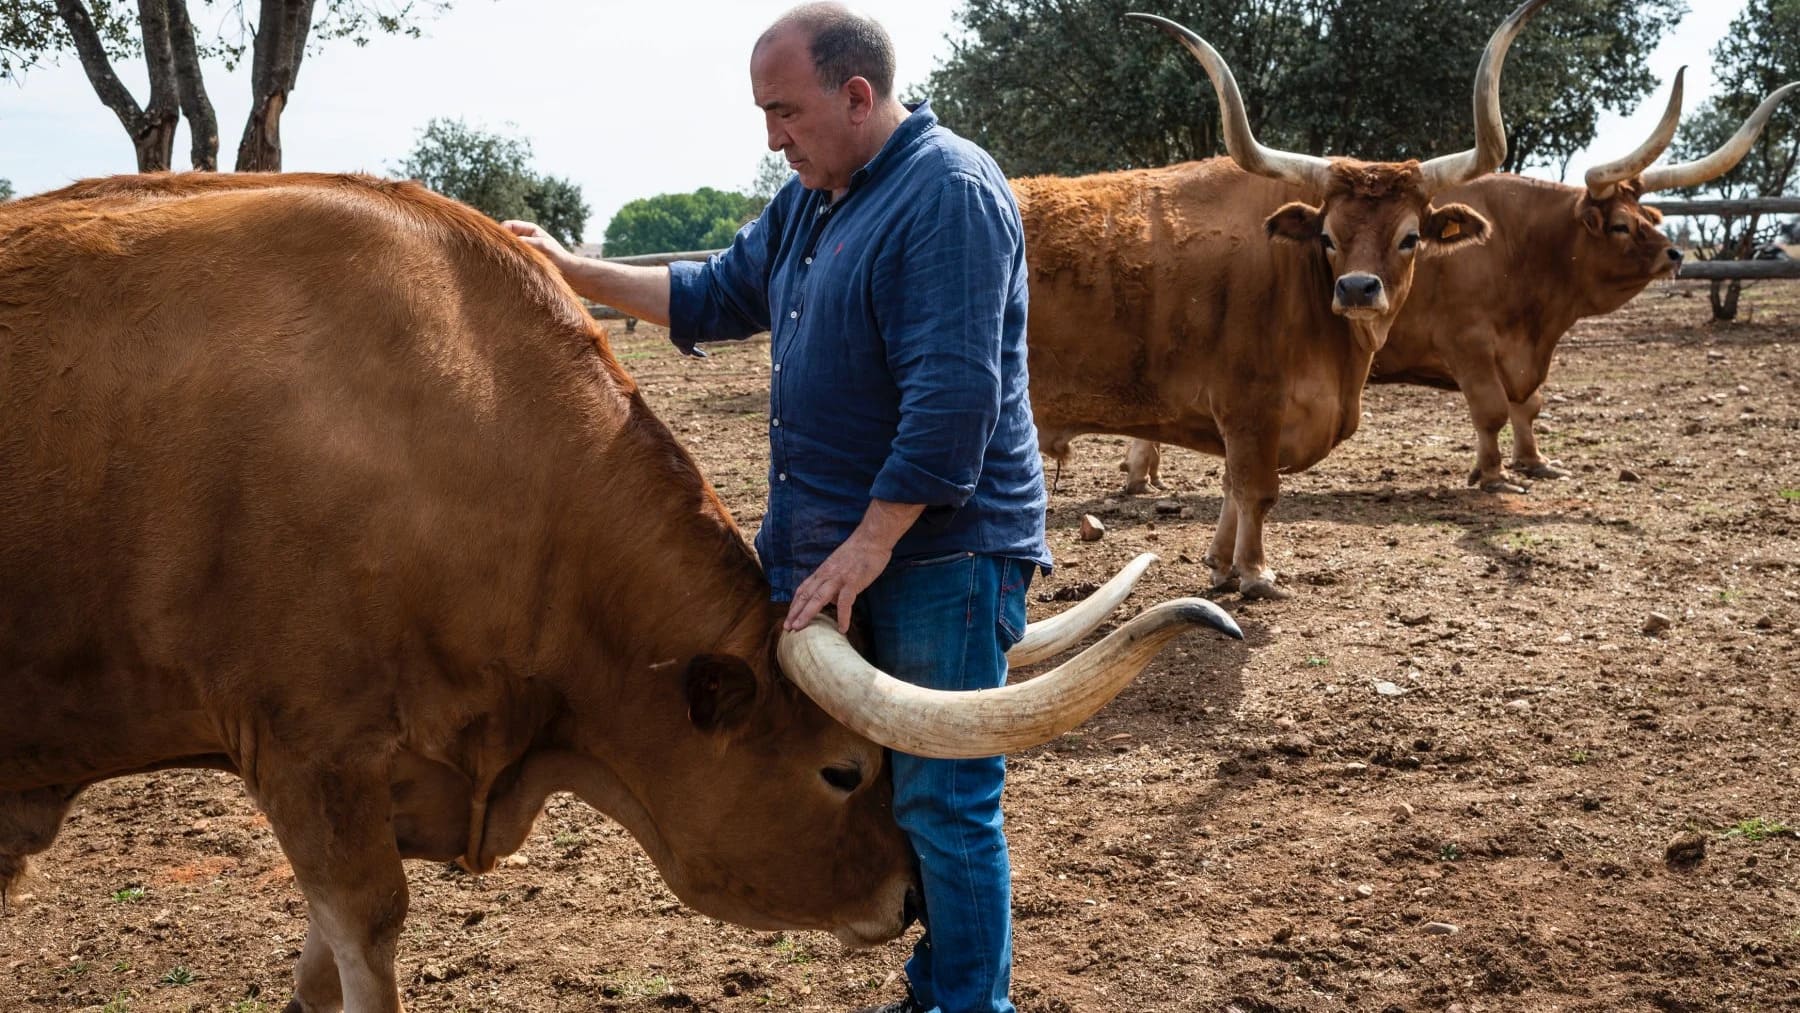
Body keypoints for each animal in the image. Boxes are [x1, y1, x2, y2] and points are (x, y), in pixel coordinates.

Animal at [1022, 0, 1540, 597]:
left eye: (1410, 237)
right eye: (1328, 236)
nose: (1357, 288)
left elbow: (1232, 488)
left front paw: (1222, 564)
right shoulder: (1250, 409)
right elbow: (1257, 491)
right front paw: (1255, 572)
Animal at [1123, 75, 1800, 496]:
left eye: (1651, 216)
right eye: (1618, 224)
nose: (1675, 252)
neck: (1521, 247)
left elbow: (1529, 405)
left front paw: (1535, 464)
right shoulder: (1469, 343)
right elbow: (1493, 409)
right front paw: (1493, 475)